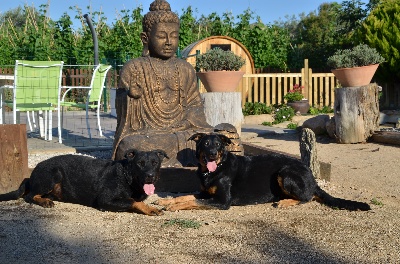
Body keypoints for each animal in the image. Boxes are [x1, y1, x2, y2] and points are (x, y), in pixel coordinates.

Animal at [0, 150, 168, 216]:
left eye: (155, 163)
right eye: (140, 163)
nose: (150, 176)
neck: (128, 177)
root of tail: (32, 172)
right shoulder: (105, 200)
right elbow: (134, 201)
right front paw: (150, 209)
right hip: (54, 173)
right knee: (30, 196)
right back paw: (44, 201)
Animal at [157, 133, 372, 211]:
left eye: (218, 145)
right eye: (205, 144)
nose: (211, 154)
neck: (215, 169)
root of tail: (311, 176)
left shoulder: (222, 201)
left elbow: (192, 201)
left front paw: (174, 207)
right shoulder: (204, 193)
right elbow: (185, 196)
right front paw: (166, 202)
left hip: (284, 173)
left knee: (307, 197)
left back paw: (285, 202)